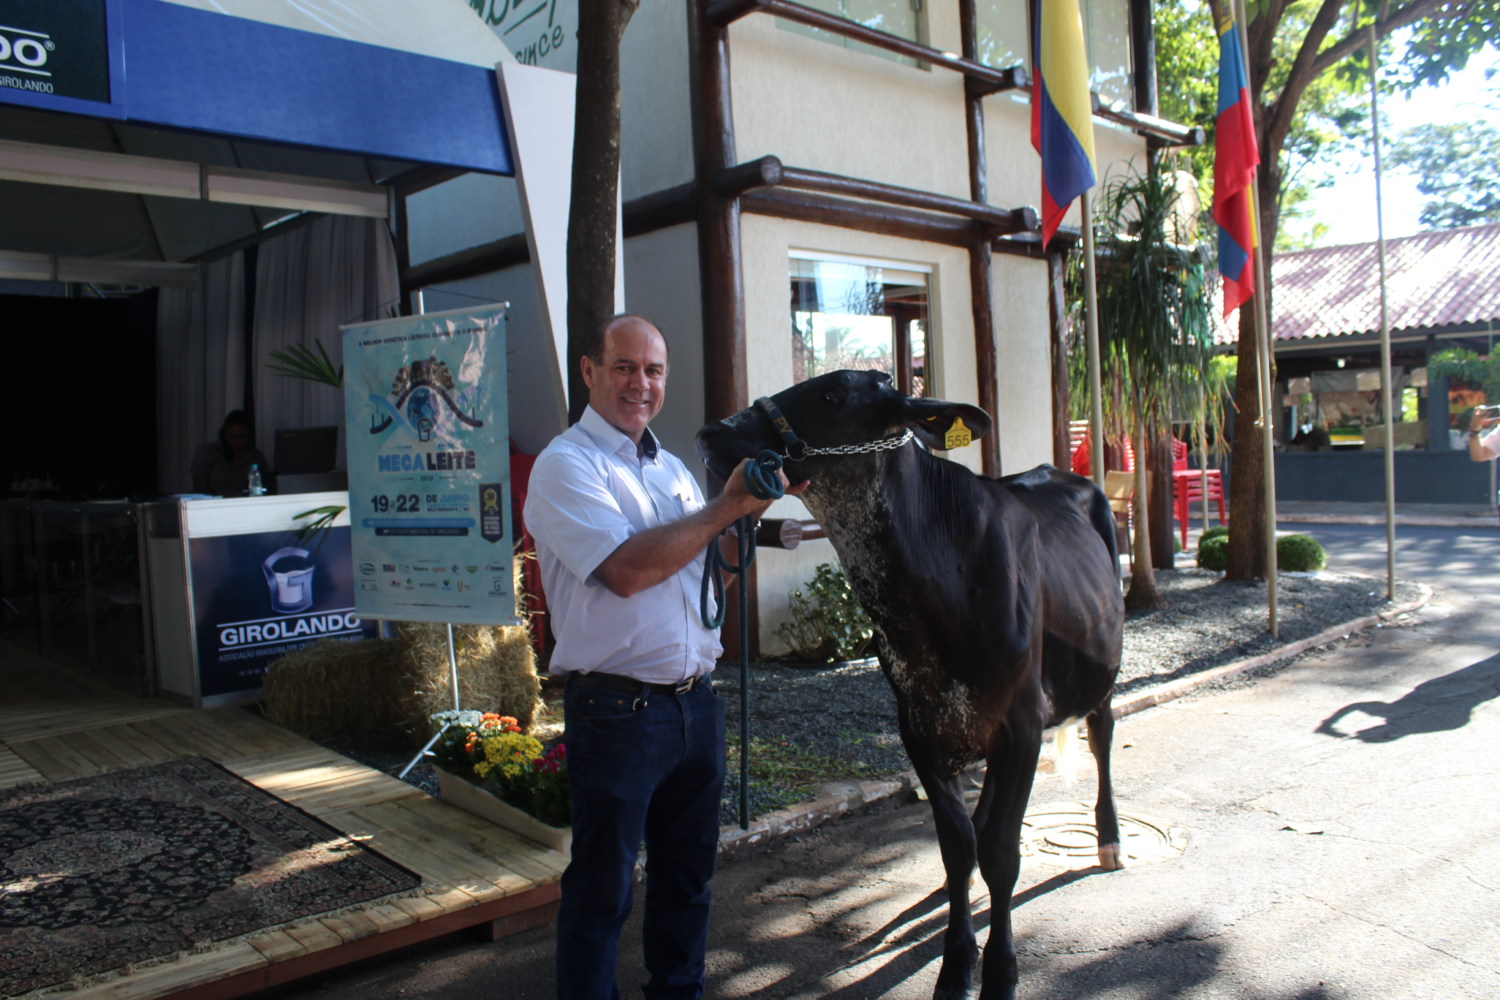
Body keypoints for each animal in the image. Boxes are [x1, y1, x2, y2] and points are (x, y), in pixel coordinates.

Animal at [696, 370, 1122, 1000]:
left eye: (832, 395)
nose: (713, 431)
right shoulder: (917, 722)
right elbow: (957, 846)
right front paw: (955, 964)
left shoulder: (1021, 722)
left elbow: (1001, 853)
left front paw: (1000, 972)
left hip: (1100, 669)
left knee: (1103, 733)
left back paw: (1110, 838)